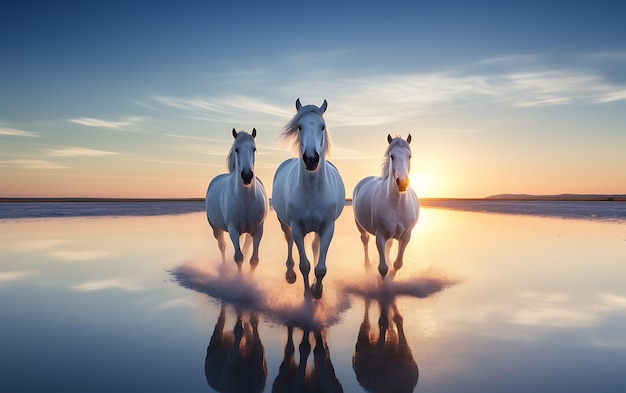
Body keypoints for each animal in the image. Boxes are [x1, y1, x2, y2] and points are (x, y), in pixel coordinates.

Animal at [206, 128, 266, 270]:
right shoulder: (233, 230)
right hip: (215, 229)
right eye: (237, 149)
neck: (245, 201)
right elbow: (238, 258)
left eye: (254, 149)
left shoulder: (258, 230)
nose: (247, 176)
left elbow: (254, 260)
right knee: (222, 245)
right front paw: (239, 276)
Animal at [270, 98, 344, 298]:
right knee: (288, 240)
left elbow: (320, 268)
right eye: (299, 126)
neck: (312, 192)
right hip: (284, 223)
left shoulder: (328, 228)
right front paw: (307, 294)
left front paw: (317, 290)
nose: (311, 158)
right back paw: (290, 273)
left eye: (322, 127)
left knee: (315, 246)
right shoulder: (296, 228)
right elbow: (305, 265)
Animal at [354, 133, 416, 278]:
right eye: (392, 156)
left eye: (409, 156)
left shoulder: (406, 235)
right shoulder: (380, 235)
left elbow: (397, 264)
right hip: (359, 225)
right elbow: (383, 268)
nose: (402, 183)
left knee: (389, 245)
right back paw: (367, 266)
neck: (397, 205)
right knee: (365, 239)